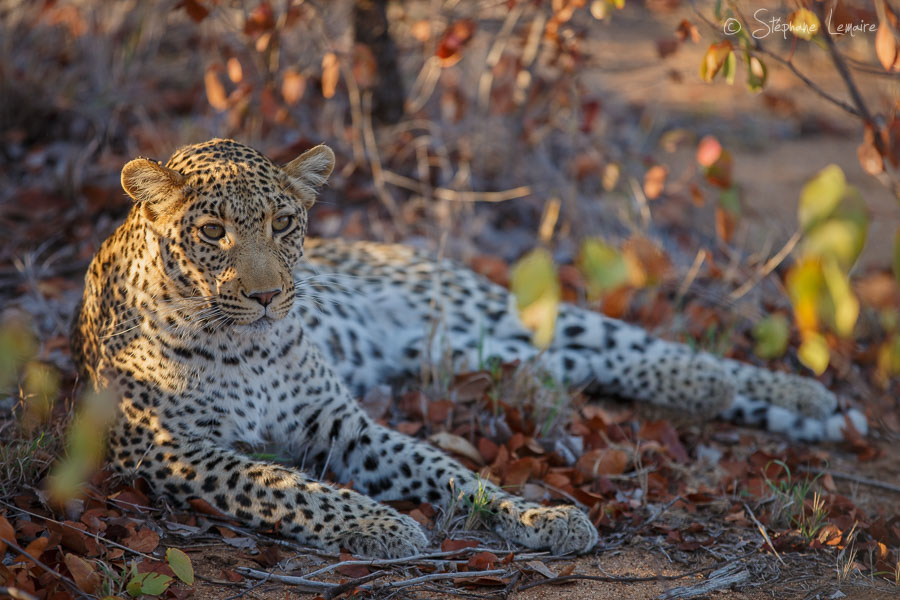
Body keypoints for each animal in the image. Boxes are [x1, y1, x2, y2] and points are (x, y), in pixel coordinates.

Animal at [71, 138, 866, 559]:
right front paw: (385, 525)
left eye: (284, 222)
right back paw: (786, 407)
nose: (270, 296)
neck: (244, 349)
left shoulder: (338, 423)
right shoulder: (167, 450)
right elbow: (286, 485)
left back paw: (799, 393)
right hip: (478, 353)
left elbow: (448, 470)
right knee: (609, 363)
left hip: (490, 312)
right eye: (213, 233)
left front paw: (541, 517)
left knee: (641, 345)